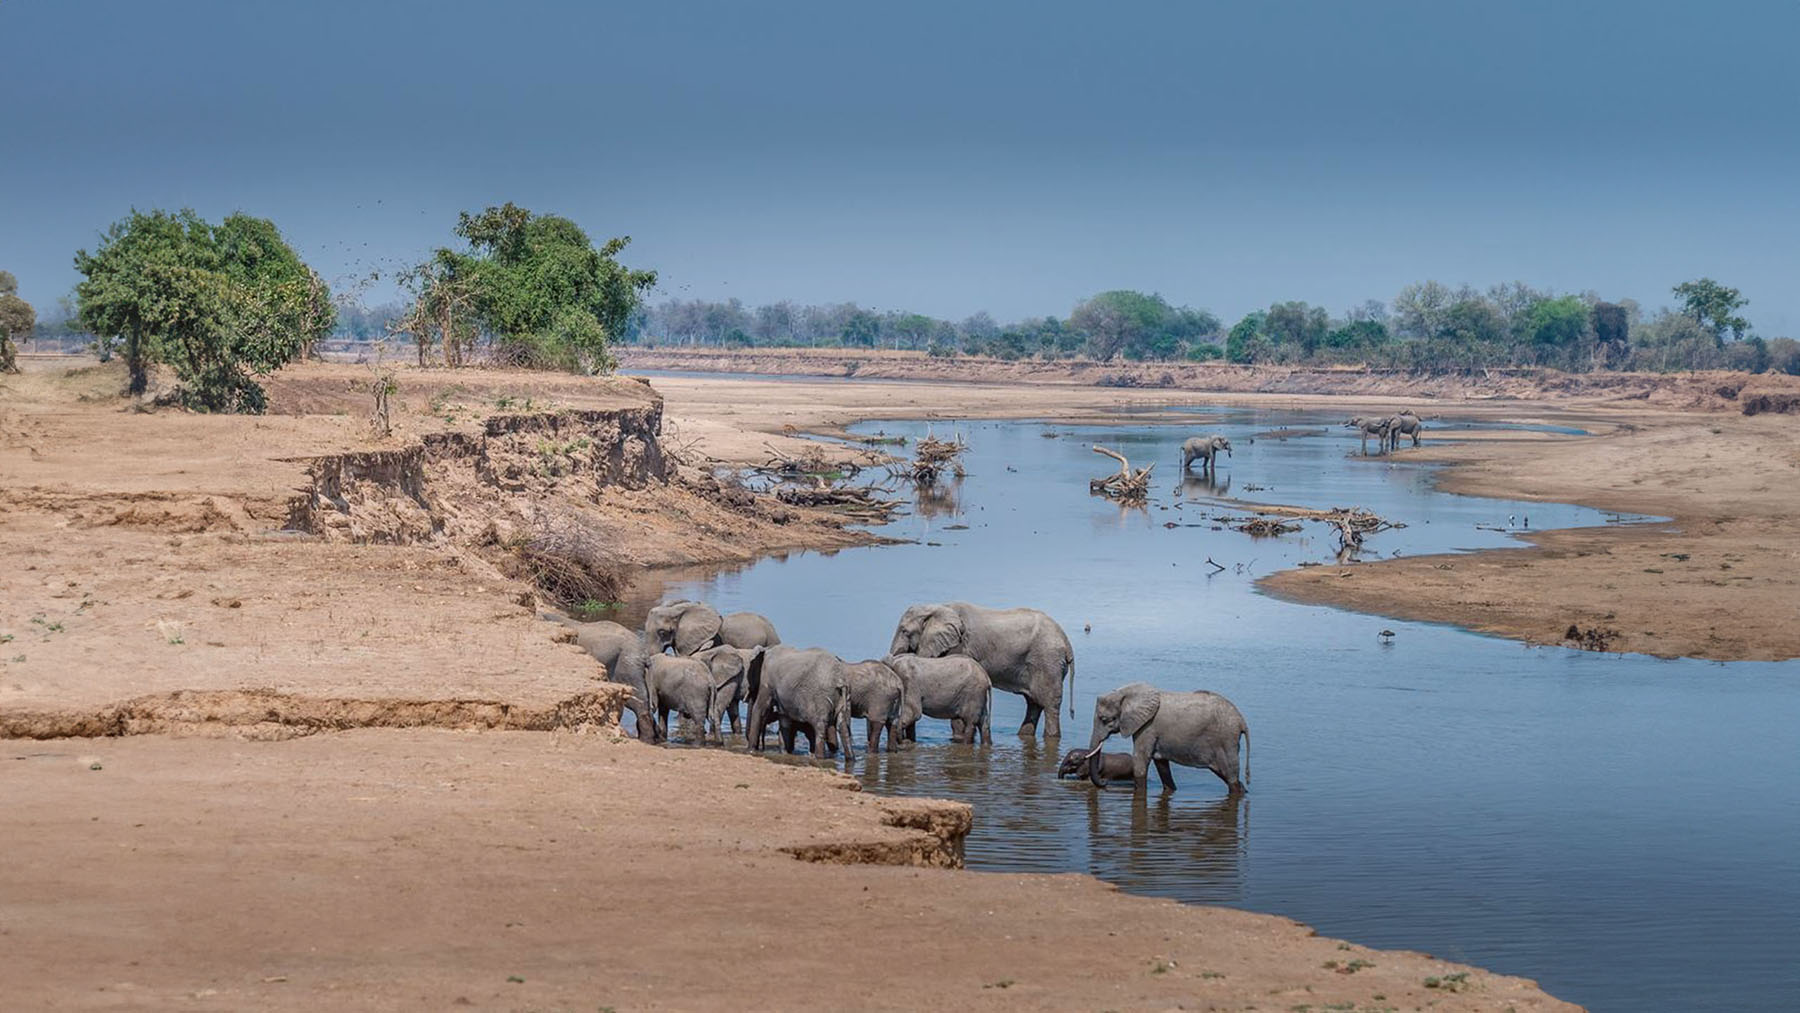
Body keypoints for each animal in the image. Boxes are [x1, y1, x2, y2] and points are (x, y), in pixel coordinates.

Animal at [885, 600, 1065, 737]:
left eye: (904, 631)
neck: (938, 608)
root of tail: (1067, 645)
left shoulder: (959, 645)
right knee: (1033, 703)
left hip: (1049, 661)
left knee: (1050, 705)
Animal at [1080, 687, 1252, 795]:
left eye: (1104, 719)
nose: (1104, 781)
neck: (1127, 693)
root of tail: (1242, 721)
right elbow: (1161, 763)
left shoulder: (1147, 728)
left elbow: (1140, 762)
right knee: (1226, 775)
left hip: (1226, 740)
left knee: (1231, 777)